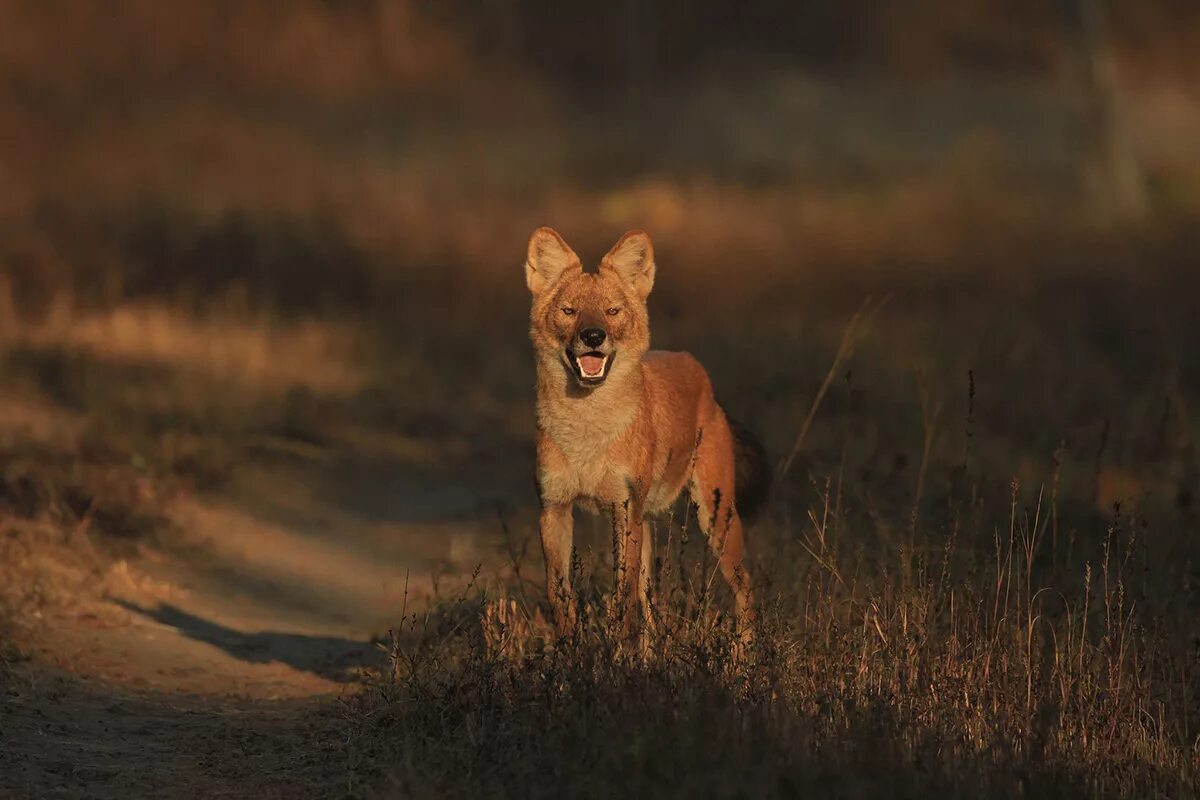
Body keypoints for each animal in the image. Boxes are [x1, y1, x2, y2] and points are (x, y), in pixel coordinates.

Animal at [525, 227, 768, 642]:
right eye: (569, 311)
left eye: (612, 311)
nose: (593, 336)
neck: (587, 429)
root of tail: (695, 368)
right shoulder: (554, 509)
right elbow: (560, 598)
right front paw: (570, 650)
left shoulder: (624, 510)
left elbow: (621, 603)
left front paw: (615, 654)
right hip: (650, 528)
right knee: (654, 608)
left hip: (715, 519)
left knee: (746, 593)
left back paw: (744, 654)